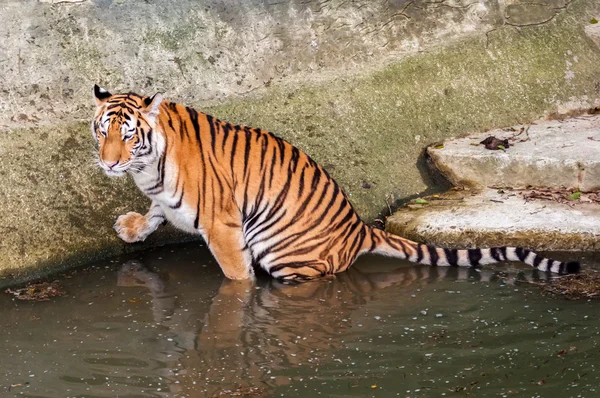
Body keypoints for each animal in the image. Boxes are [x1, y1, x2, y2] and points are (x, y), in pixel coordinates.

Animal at [91, 85, 580, 282]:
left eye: (129, 135)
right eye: (102, 131)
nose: (109, 164)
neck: (148, 166)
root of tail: (360, 228)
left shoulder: (222, 225)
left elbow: (236, 278)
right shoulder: (163, 198)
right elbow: (155, 213)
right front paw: (129, 228)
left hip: (283, 251)